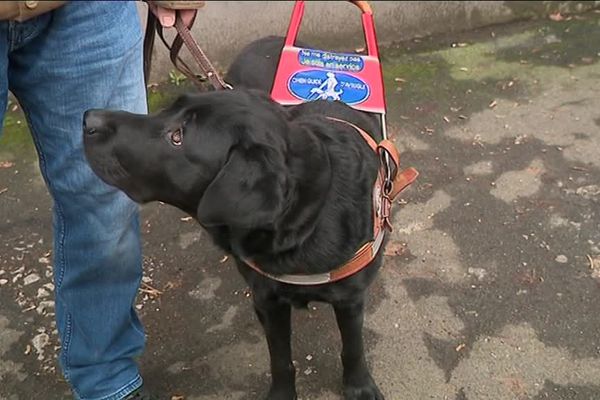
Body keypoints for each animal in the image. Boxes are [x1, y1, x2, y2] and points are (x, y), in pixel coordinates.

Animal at [84, 36, 390, 398]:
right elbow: (280, 359)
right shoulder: (267, 300)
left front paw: (359, 386)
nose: (89, 118)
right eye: (169, 110)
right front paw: (282, 394)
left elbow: (352, 347)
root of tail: (267, 39)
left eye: (178, 136)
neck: (305, 216)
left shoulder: (350, 298)